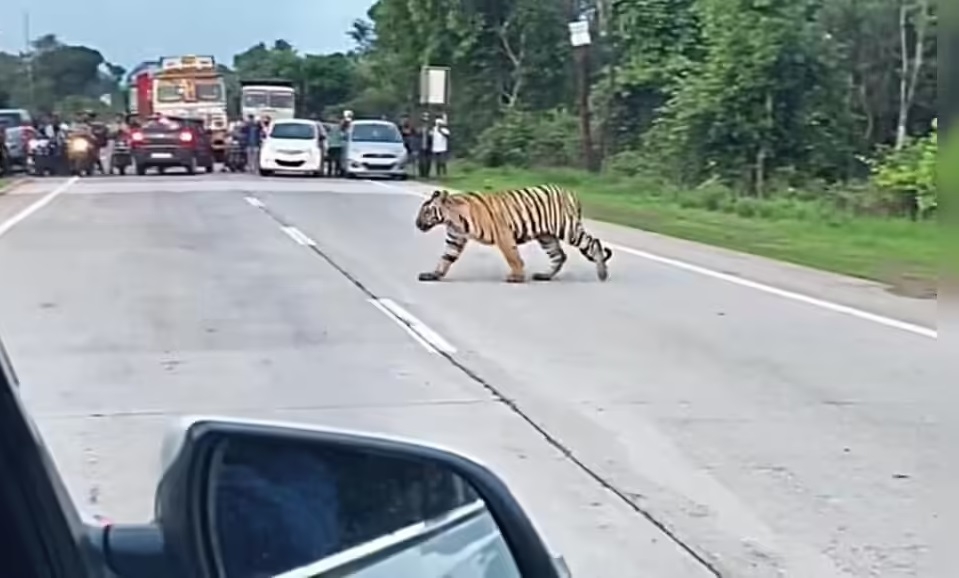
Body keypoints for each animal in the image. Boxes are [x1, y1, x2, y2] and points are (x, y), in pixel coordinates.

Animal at [414, 184, 612, 283]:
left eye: (426, 212)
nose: (416, 224)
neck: (452, 219)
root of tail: (571, 193)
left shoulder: (503, 234)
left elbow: (513, 257)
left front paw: (516, 277)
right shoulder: (455, 239)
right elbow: (446, 258)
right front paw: (433, 275)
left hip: (567, 229)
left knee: (594, 243)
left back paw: (602, 273)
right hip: (546, 236)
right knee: (559, 256)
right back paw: (544, 276)